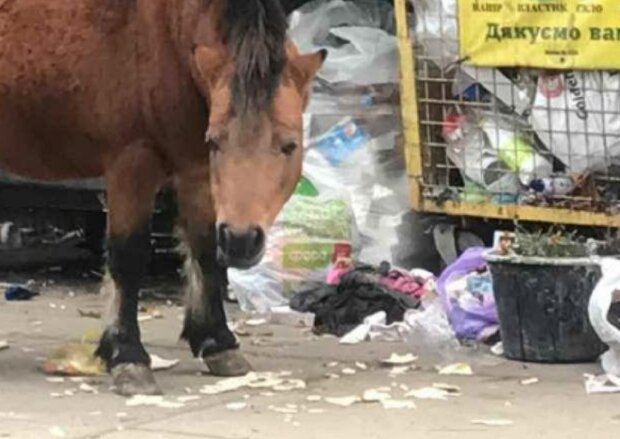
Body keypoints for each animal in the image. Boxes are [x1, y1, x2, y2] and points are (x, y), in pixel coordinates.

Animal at [0, 0, 326, 398]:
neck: (165, 39)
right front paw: (127, 354)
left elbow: (204, 252)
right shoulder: (131, 162)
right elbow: (128, 256)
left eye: (289, 145)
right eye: (217, 141)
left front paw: (216, 341)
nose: (242, 240)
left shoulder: (195, 172)